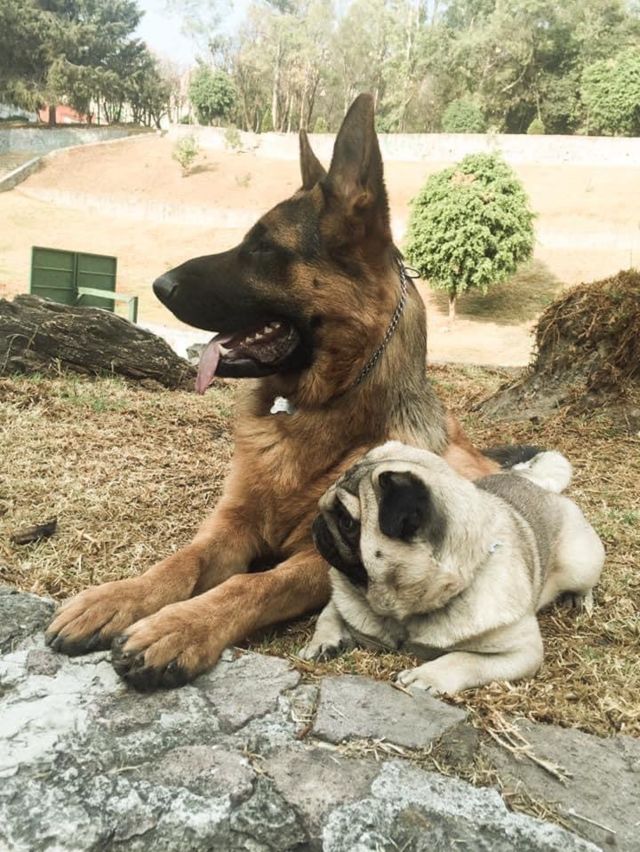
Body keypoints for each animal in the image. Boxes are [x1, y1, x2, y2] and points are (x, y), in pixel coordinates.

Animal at [47, 94, 532, 690]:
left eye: (262, 249)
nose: (159, 285)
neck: (321, 407)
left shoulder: (324, 556)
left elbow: (253, 584)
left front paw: (180, 627)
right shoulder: (233, 524)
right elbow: (183, 560)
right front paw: (118, 597)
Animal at [301, 441, 605, 694]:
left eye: (347, 522)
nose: (318, 521)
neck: (404, 612)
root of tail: (528, 481)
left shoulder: (522, 652)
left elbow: (464, 659)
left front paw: (426, 676)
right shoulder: (342, 597)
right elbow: (328, 615)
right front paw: (322, 642)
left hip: (580, 562)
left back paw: (578, 599)